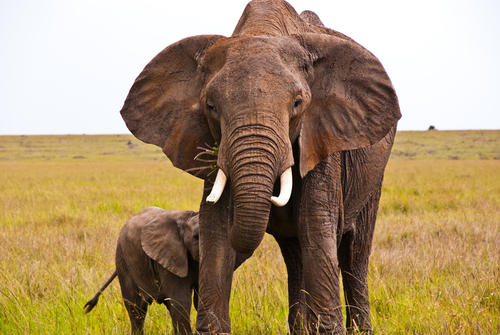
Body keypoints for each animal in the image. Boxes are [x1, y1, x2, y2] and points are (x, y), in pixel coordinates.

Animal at [84, 207, 199, 335]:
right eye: (196, 236)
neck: (187, 218)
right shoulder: (169, 259)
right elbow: (180, 302)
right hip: (123, 259)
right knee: (136, 309)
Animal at [119, 1, 400, 334]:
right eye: (210, 106)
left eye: (298, 103)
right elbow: (216, 226)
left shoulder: (321, 139)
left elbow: (316, 223)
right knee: (296, 255)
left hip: (373, 177)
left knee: (353, 254)